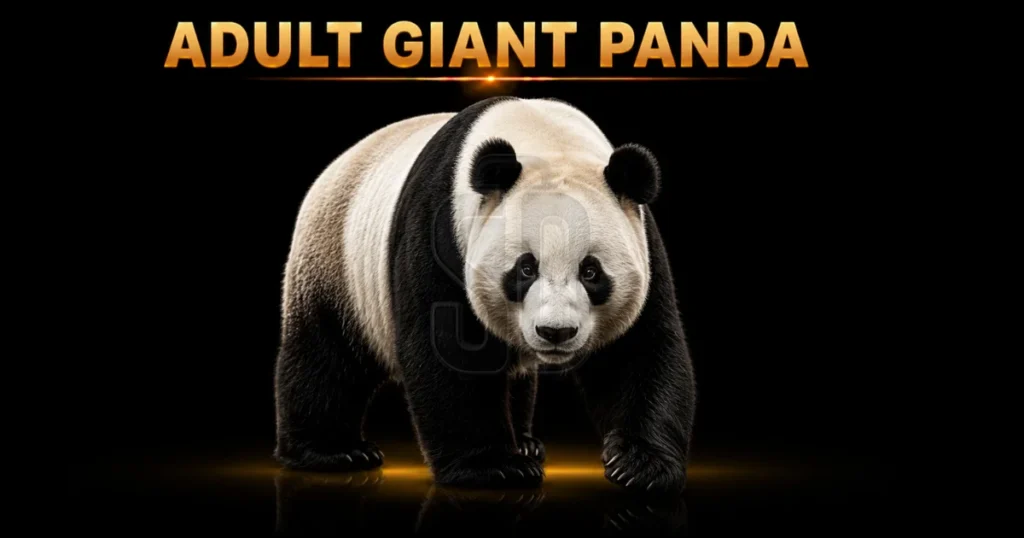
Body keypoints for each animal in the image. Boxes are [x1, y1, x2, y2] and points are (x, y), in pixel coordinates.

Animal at [273, 96, 697, 492]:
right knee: (325, 358)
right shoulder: (439, 230)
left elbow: (639, 351)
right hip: (336, 264)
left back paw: (524, 441)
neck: (546, 138)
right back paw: (335, 451)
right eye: (526, 268)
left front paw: (640, 465)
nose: (556, 332)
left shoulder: (643, 244)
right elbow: (448, 352)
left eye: (591, 271)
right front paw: (494, 467)